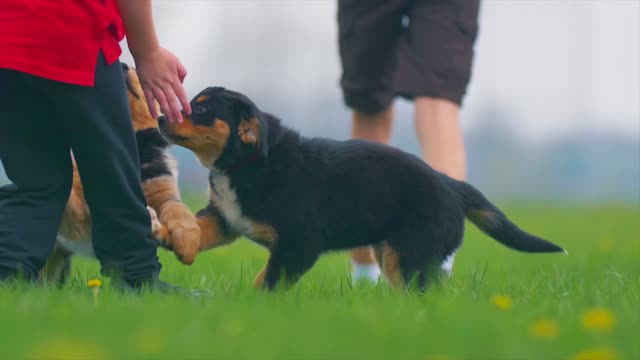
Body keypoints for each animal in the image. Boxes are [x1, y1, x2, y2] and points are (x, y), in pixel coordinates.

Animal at [42, 64, 200, 284]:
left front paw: (187, 242)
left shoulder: (164, 190)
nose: (123, 66)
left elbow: (179, 210)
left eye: (137, 69)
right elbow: (73, 198)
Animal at [155, 87, 564, 292]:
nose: (159, 116)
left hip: (409, 255)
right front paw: (169, 235)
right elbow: (198, 228)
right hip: (391, 252)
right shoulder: (226, 218)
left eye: (201, 110)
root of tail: (451, 184)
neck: (245, 164)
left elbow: (267, 280)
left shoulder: (299, 244)